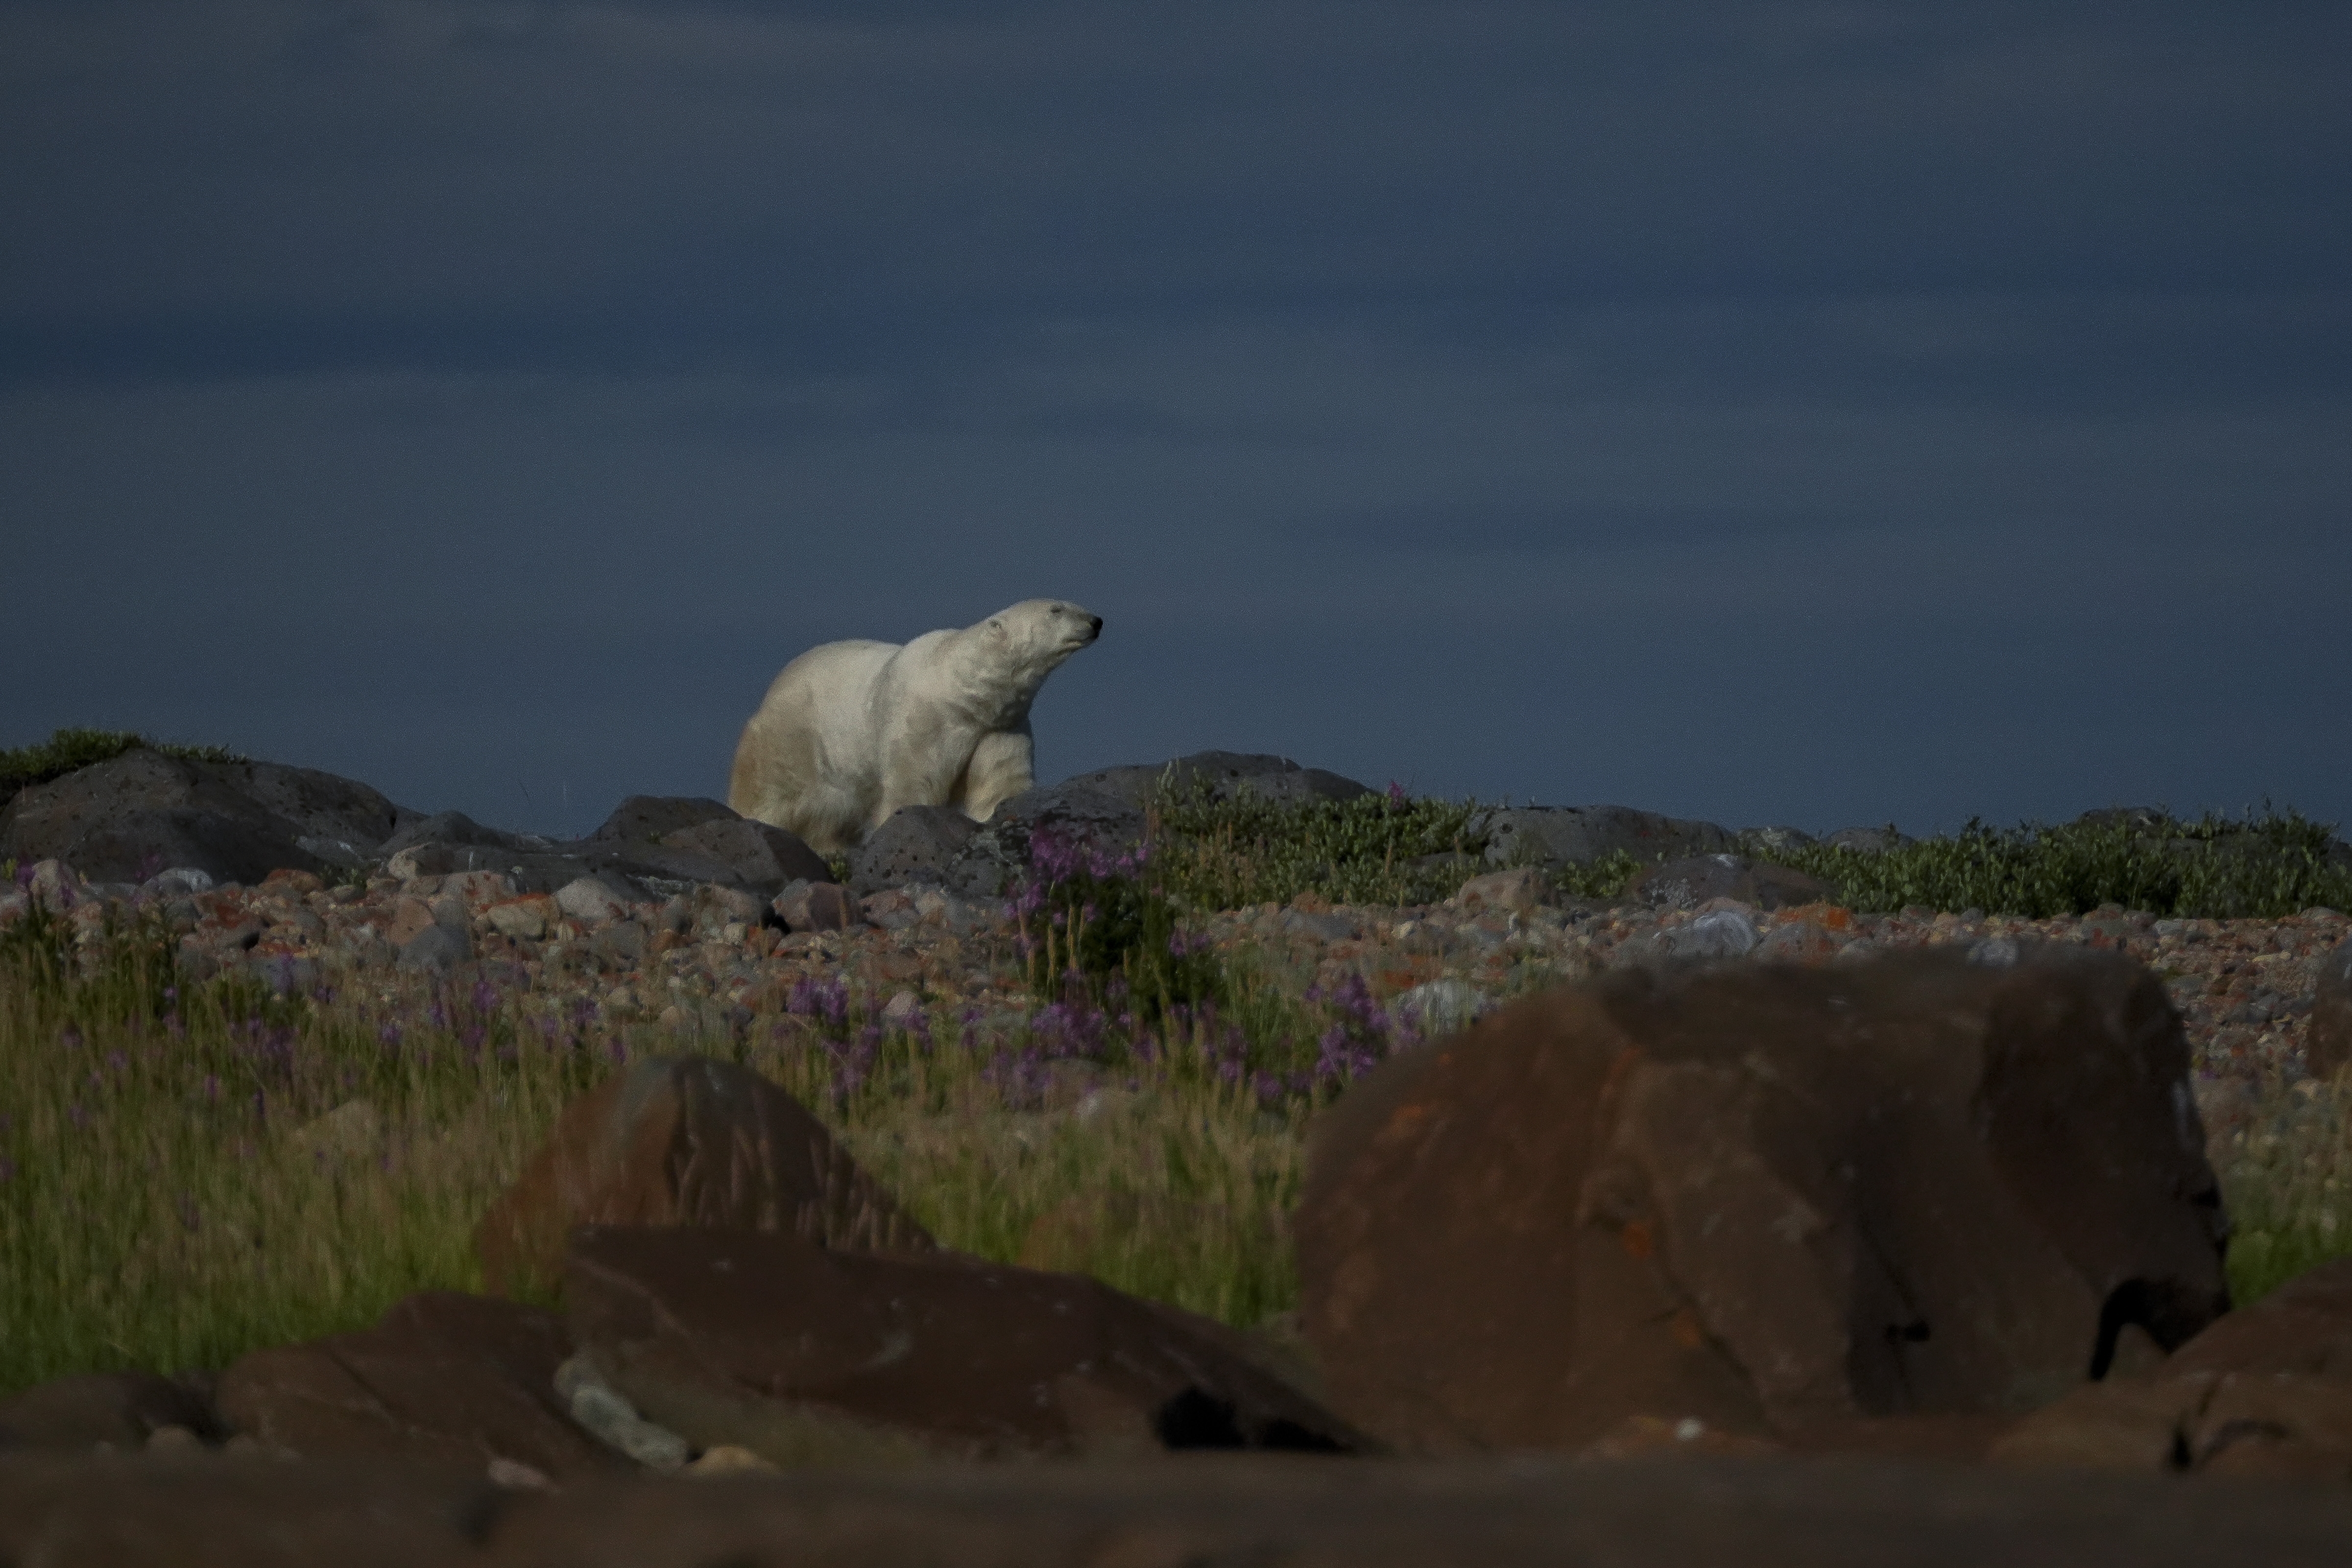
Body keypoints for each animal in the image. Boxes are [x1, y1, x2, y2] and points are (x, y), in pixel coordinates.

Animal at [727, 599, 1103, 855]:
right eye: (1056, 609)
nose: (1096, 621)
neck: (963, 692)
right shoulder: (923, 719)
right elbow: (913, 780)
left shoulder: (999, 726)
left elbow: (999, 782)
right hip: (793, 738)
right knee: (773, 793)